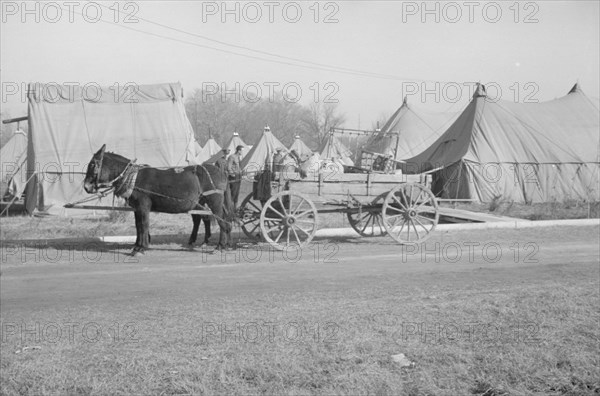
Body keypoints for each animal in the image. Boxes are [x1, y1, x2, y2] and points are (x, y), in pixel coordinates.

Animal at [83, 145, 233, 254]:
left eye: (92, 165)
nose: (86, 186)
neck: (133, 178)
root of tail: (221, 172)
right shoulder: (137, 208)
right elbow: (138, 226)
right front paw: (137, 246)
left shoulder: (143, 206)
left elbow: (144, 225)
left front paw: (142, 248)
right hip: (201, 203)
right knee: (208, 220)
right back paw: (221, 244)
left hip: (214, 201)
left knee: (221, 221)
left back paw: (220, 246)